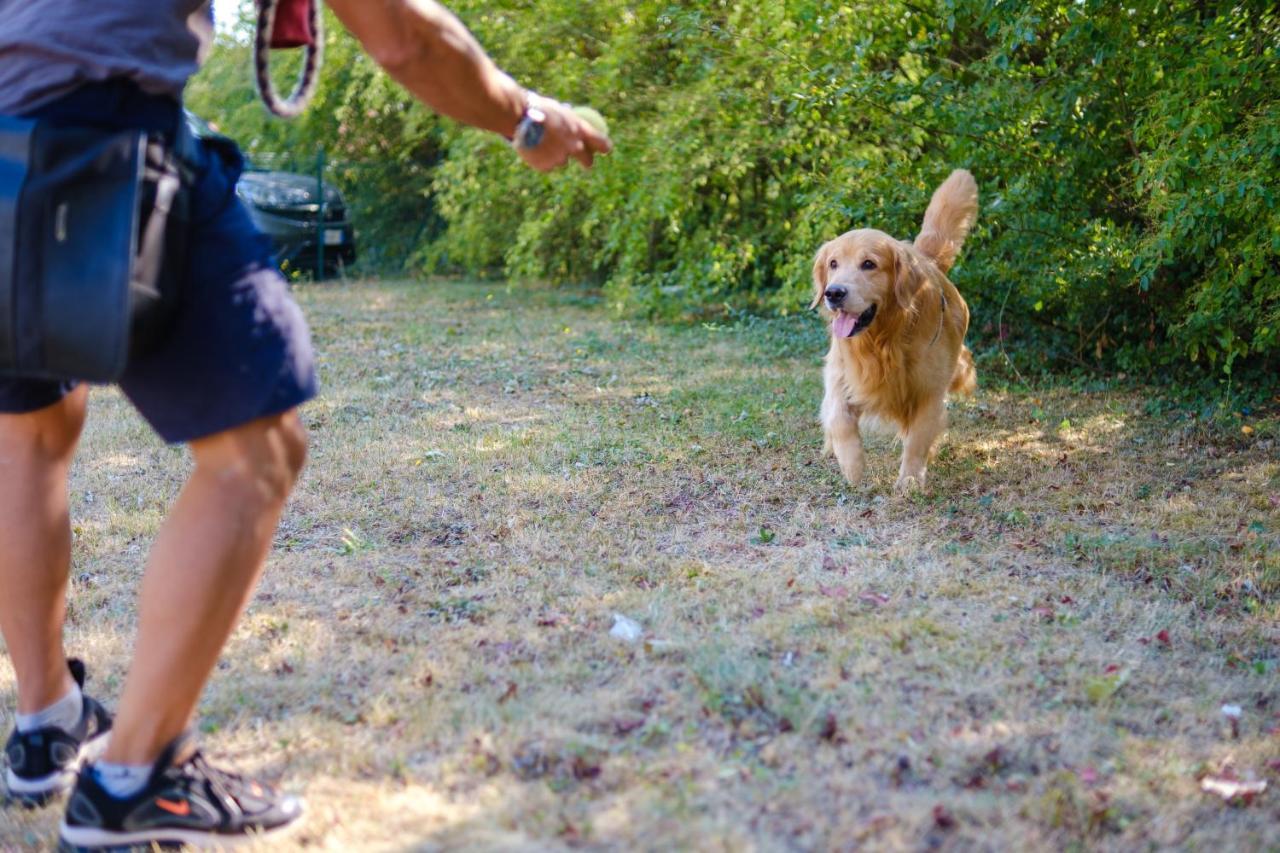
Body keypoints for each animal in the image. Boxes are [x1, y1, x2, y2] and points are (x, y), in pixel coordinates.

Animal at [808, 169, 977, 489]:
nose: (834, 293)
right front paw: (853, 466)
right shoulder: (841, 375)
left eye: (869, 264)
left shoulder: (928, 391)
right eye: (833, 263)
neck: (882, 340)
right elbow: (839, 419)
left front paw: (909, 481)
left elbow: (917, 440)